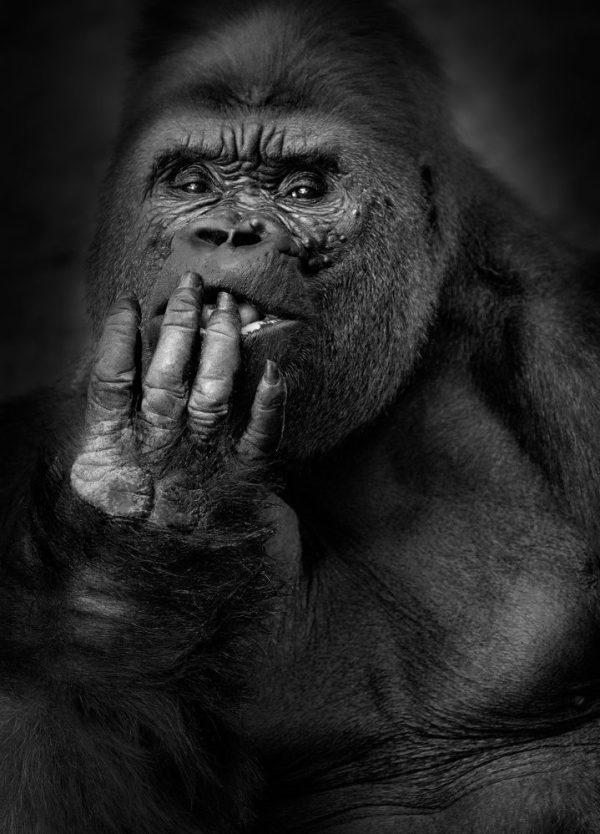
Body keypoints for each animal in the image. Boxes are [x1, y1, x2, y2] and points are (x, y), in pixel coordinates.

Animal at [2, 0, 600, 831]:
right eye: (192, 182)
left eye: (304, 190)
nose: (230, 234)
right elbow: (63, 699)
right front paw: (149, 496)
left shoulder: (569, 348)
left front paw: (166, 478)